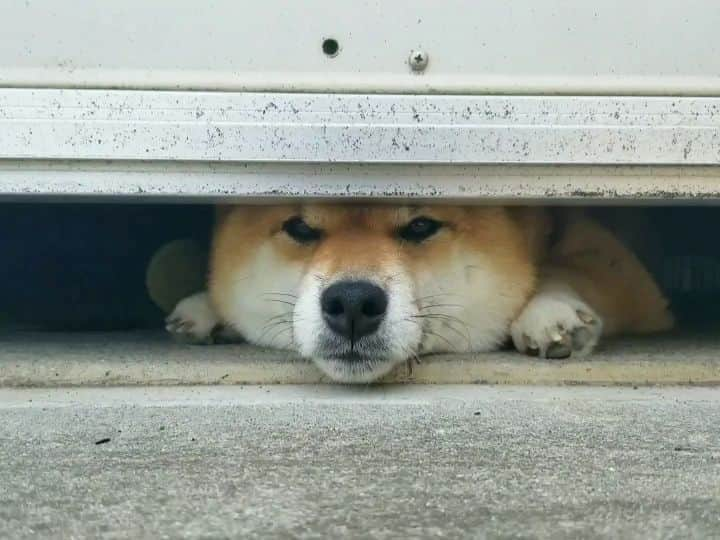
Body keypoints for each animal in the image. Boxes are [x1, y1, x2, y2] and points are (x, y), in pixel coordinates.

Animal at [166, 205, 672, 382]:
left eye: (420, 226)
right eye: (302, 229)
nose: (353, 303)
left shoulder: (620, 267)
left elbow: (559, 265)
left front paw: (550, 310)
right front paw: (206, 306)